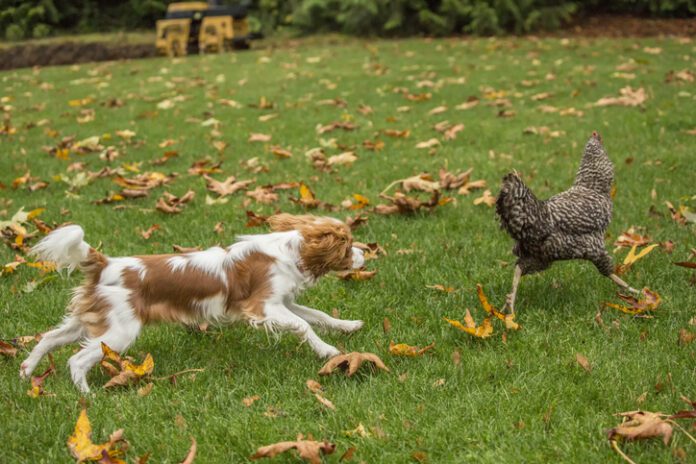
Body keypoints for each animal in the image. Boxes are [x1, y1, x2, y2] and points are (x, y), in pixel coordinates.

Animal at [19, 214, 368, 392]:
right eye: (348, 245)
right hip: (119, 332)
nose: (365, 254)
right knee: (76, 361)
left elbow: (317, 315)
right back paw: (87, 398)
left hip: (88, 322)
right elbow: (304, 325)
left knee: (48, 339)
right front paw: (327, 351)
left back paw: (26, 371)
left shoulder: (281, 303)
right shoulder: (263, 307)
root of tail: (105, 264)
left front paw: (349, 326)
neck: (289, 250)